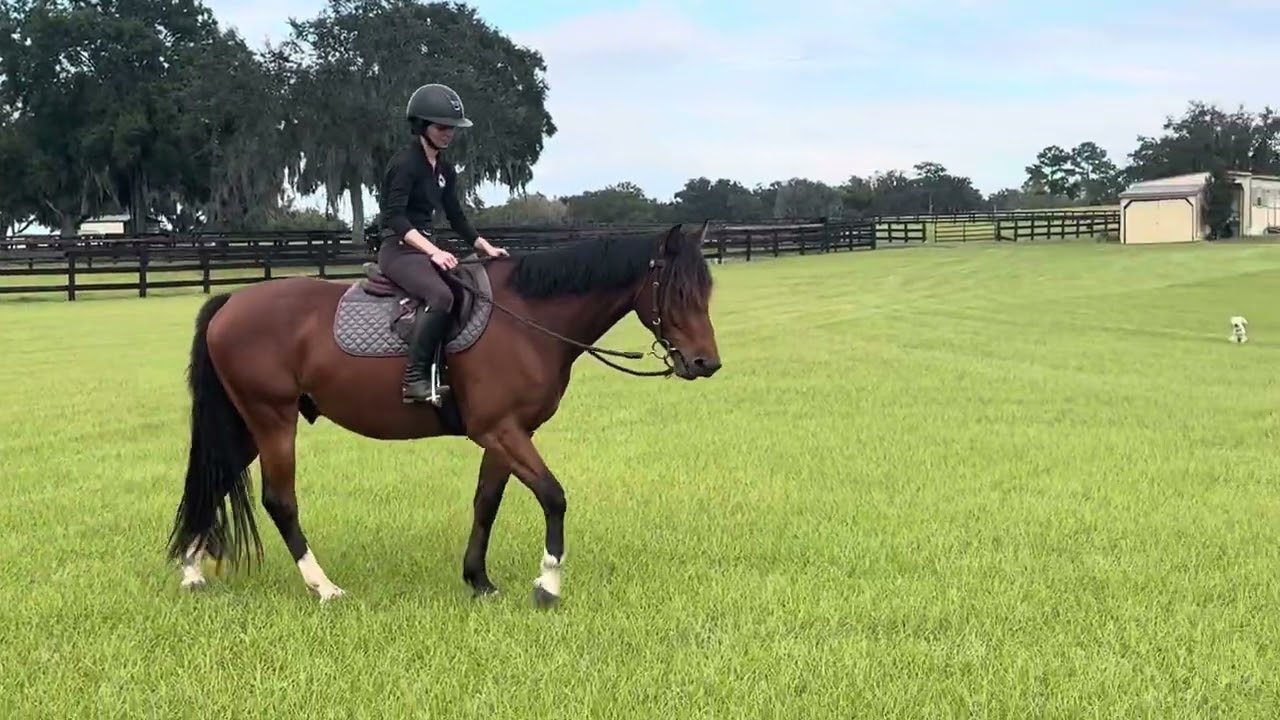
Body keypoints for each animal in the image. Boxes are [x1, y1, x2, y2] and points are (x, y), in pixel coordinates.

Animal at [164, 221, 722, 608]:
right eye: (676, 292)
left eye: (707, 291)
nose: (705, 363)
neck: (527, 319)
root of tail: (232, 300)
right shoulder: (501, 430)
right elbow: (554, 496)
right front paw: (547, 584)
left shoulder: (507, 434)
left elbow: (486, 504)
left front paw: (479, 580)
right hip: (273, 420)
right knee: (279, 501)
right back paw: (323, 587)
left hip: (248, 425)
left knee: (213, 480)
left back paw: (192, 572)